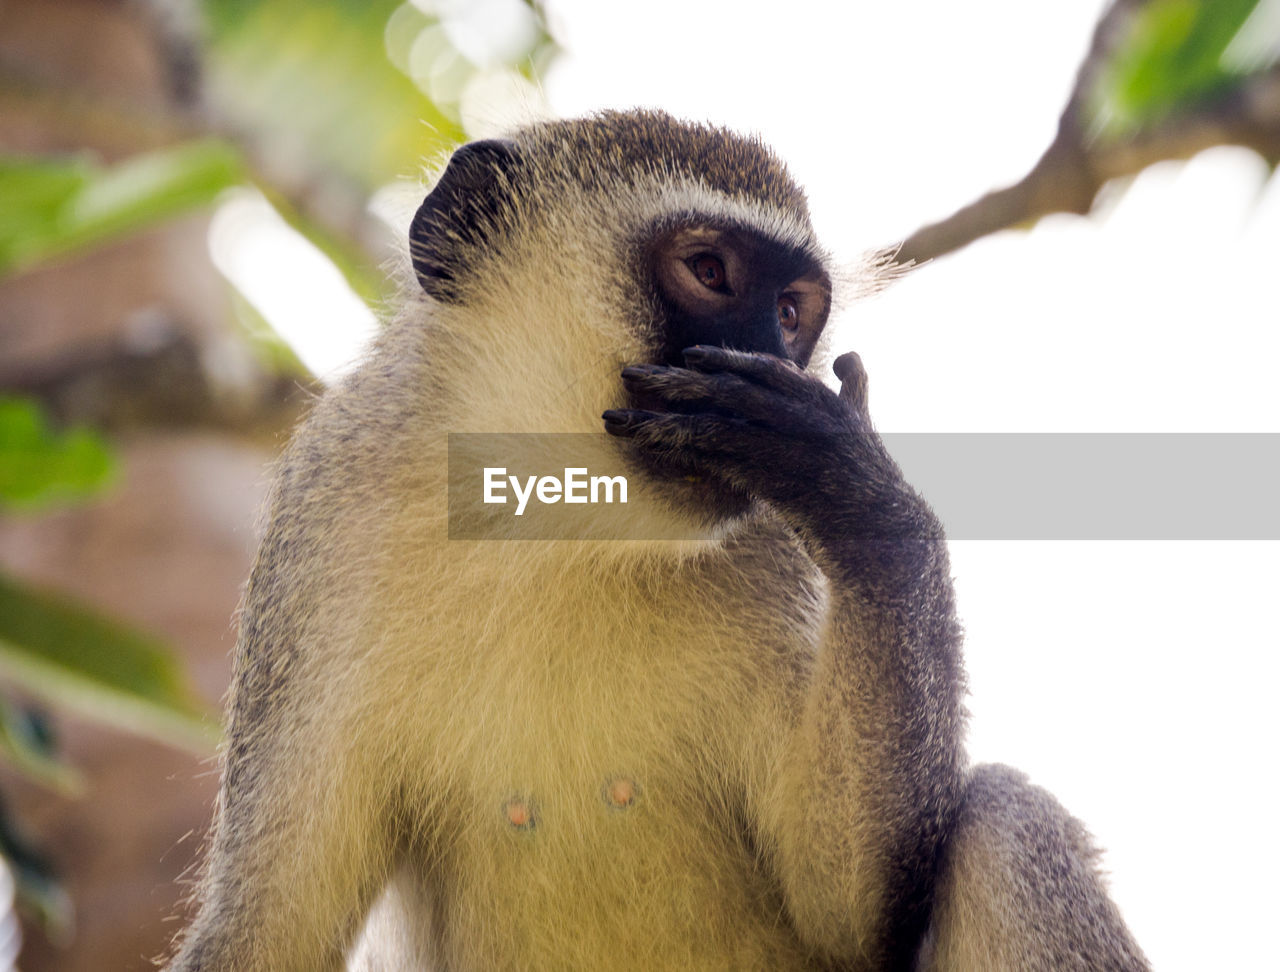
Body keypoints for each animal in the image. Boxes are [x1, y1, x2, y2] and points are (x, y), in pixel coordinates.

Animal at [170, 110, 1152, 968]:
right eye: (710, 271)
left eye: (791, 310)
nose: (774, 357)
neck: (559, 528)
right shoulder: (328, 521)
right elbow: (270, 930)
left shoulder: (772, 545)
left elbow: (851, 905)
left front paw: (859, 495)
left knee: (1004, 821)